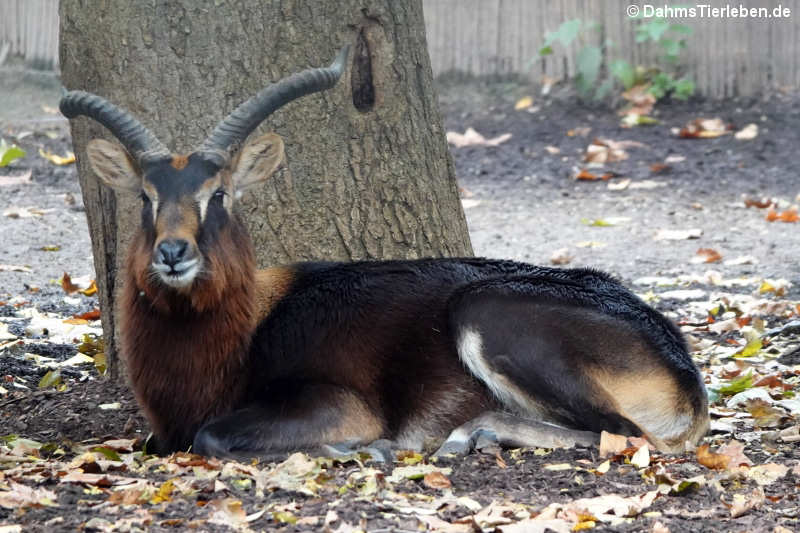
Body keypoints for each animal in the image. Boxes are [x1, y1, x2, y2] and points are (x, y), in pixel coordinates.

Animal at [62, 46, 708, 462]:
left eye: (216, 193)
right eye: (146, 197)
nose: (173, 253)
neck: (242, 329)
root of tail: (682, 371)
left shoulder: (335, 402)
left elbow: (211, 437)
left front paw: (364, 449)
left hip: (484, 314)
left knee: (629, 436)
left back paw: (458, 438)